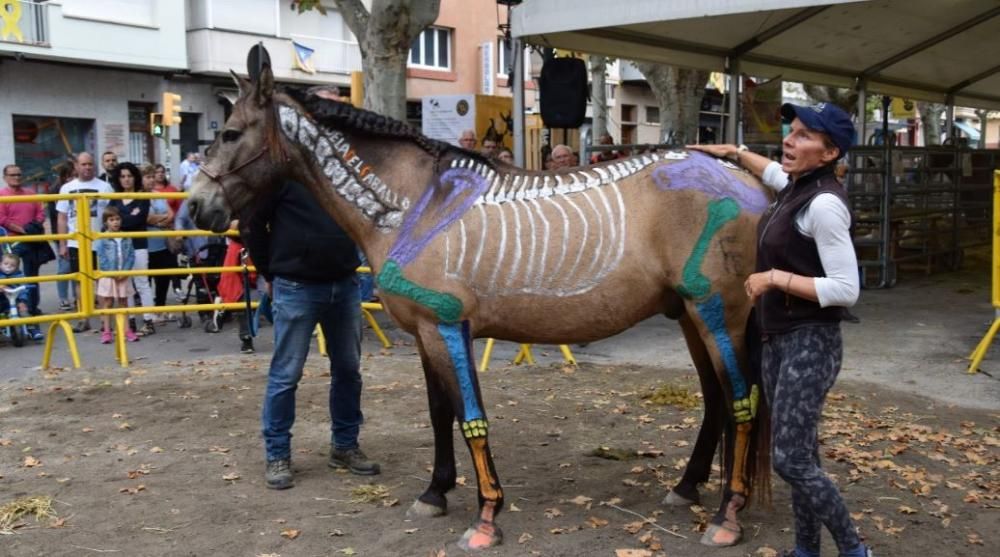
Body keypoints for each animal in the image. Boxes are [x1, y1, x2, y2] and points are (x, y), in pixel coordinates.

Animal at [191, 64, 776, 548]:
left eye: (230, 133)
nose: (198, 206)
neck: (415, 204)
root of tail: (751, 180)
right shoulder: (425, 334)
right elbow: (439, 413)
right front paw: (435, 493)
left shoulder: (448, 327)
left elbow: (471, 417)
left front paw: (487, 515)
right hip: (690, 316)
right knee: (716, 399)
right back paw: (687, 487)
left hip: (718, 314)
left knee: (743, 402)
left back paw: (728, 515)